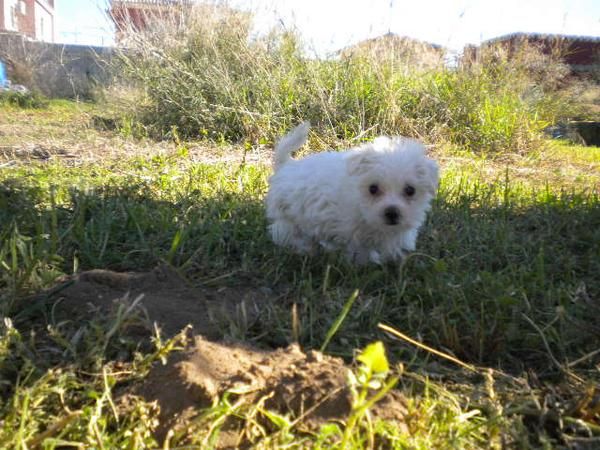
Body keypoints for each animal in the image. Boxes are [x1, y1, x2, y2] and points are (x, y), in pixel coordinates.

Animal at [264, 123, 438, 264]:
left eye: (410, 190)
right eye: (373, 189)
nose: (392, 213)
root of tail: (286, 166)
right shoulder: (352, 233)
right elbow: (359, 252)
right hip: (287, 216)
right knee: (286, 232)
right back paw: (305, 249)